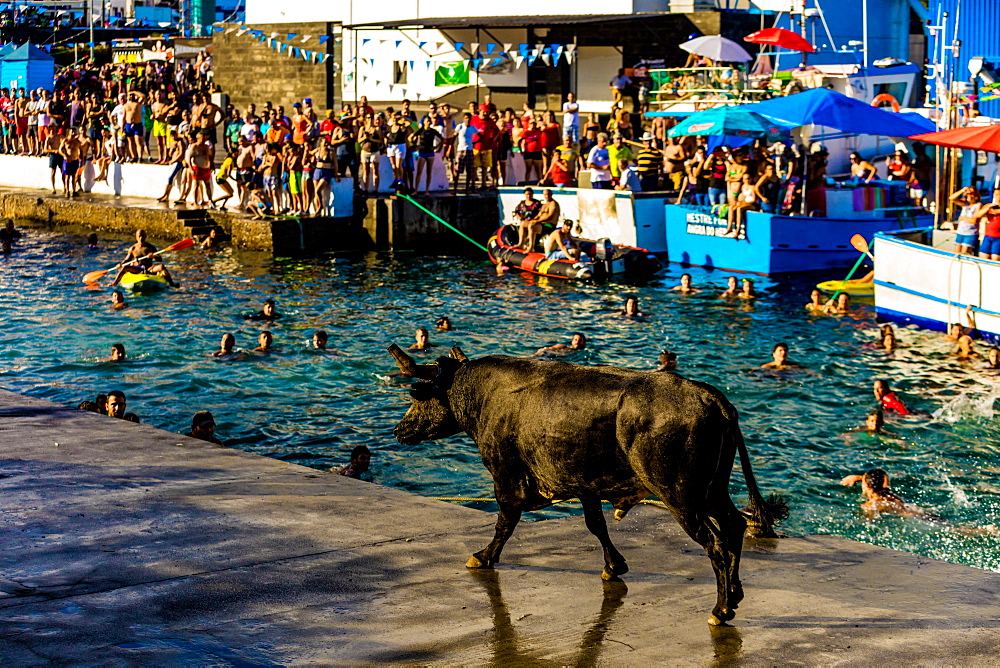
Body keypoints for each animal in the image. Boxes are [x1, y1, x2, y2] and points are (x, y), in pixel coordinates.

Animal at [386, 344, 784, 628]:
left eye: (419, 395)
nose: (398, 429)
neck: (486, 395)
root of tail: (710, 398)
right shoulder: (585, 485)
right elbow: (596, 525)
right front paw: (614, 565)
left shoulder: (506, 475)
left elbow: (505, 522)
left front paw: (483, 556)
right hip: (712, 490)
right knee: (734, 525)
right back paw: (735, 594)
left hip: (682, 496)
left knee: (715, 544)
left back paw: (720, 609)